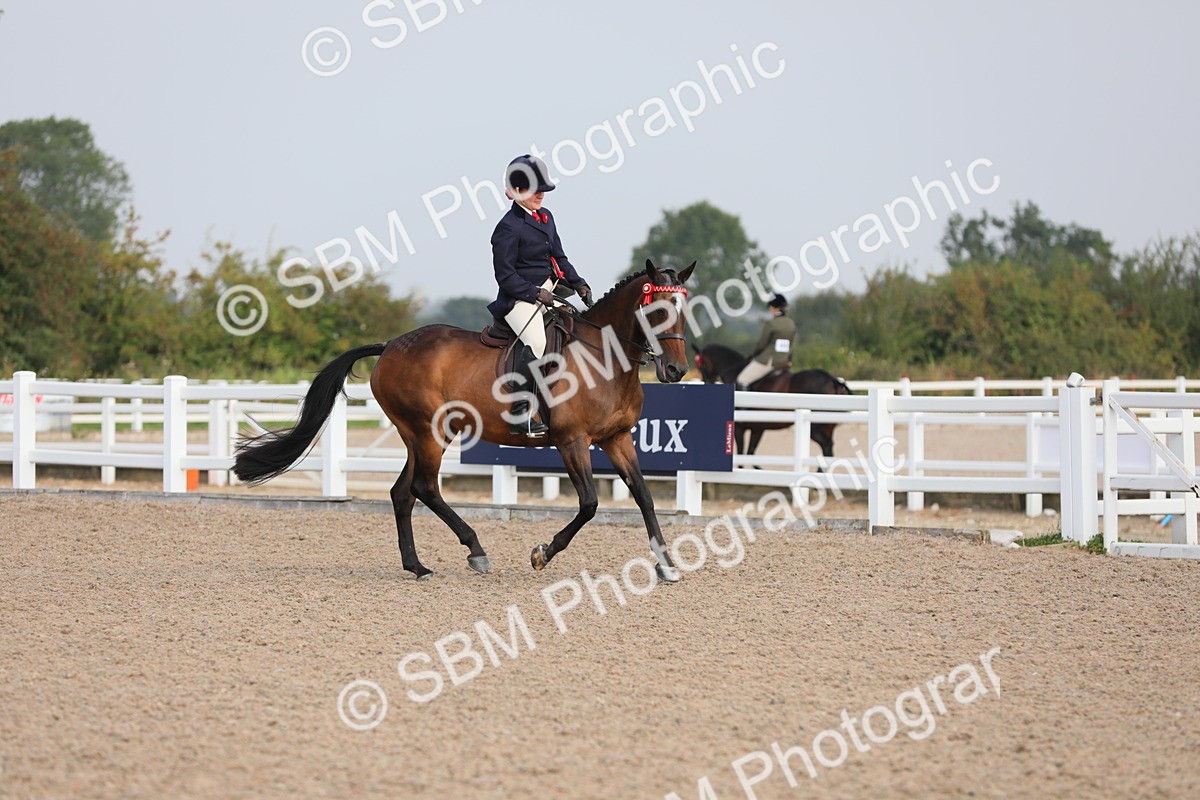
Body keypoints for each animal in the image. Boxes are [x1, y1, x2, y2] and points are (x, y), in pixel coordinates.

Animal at [233, 260, 696, 582]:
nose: (675, 371)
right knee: (424, 488)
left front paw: (667, 566)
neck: (604, 360)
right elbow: (588, 504)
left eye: (683, 308)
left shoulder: (618, 438)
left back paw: (417, 566)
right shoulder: (572, 440)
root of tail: (391, 345)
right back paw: (475, 550)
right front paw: (542, 554)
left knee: (402, 492)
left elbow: (644, 497)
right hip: (430, 432)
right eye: (655, 310)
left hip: (417, 435)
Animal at [691, 342, 852, 460]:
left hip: (815, 427)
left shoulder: (739, 428)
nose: (708, 384)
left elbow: (742, 454)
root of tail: (832, 379)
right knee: (828, 448)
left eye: (701, 366)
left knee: (826, 446)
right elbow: (750, 453)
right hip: (828, 427)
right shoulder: (757, 429)